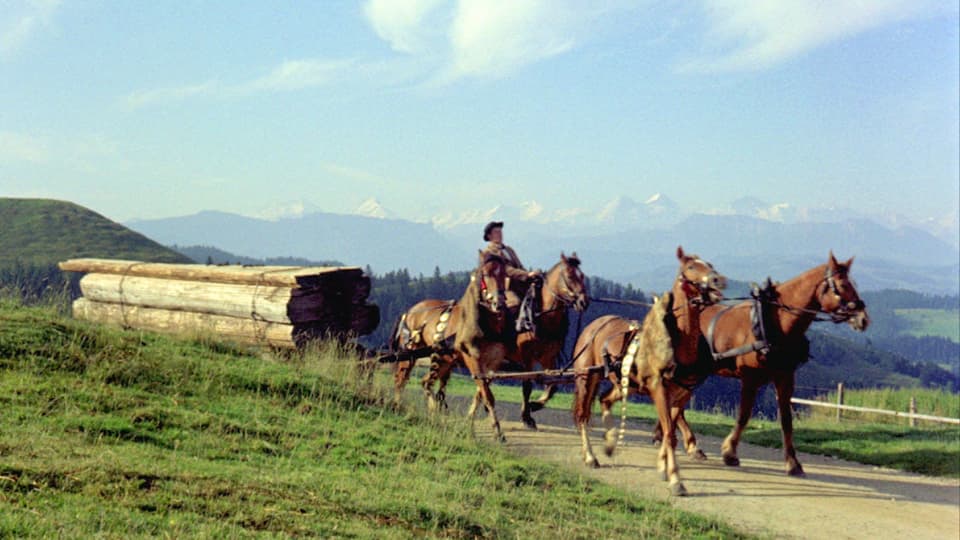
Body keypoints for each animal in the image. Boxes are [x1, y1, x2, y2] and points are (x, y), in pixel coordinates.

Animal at [568, 247, 728, 496]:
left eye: (710, 264)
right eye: (691, 267)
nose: (717, 280)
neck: (677, 343)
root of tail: (594, 325)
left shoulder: (681, 393)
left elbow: (668, 428)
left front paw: (663, 467)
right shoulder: (658, 388)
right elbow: (669, 433)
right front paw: (676, 479)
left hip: (625, 383)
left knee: (604, 399)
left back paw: (610, 441)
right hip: (586, 377)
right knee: (582, 416)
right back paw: (590, 456)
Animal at [660, 251, 872, 474]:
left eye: (854, 283)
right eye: (841, 285)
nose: (863, 318)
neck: (772, 322)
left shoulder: (785, 378)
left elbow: (786, 420)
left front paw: (792, 462)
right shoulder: (750, 378)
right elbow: (744, 415)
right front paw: (730, 452)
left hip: (696, 373)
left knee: (677, 405)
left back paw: (688, 444)